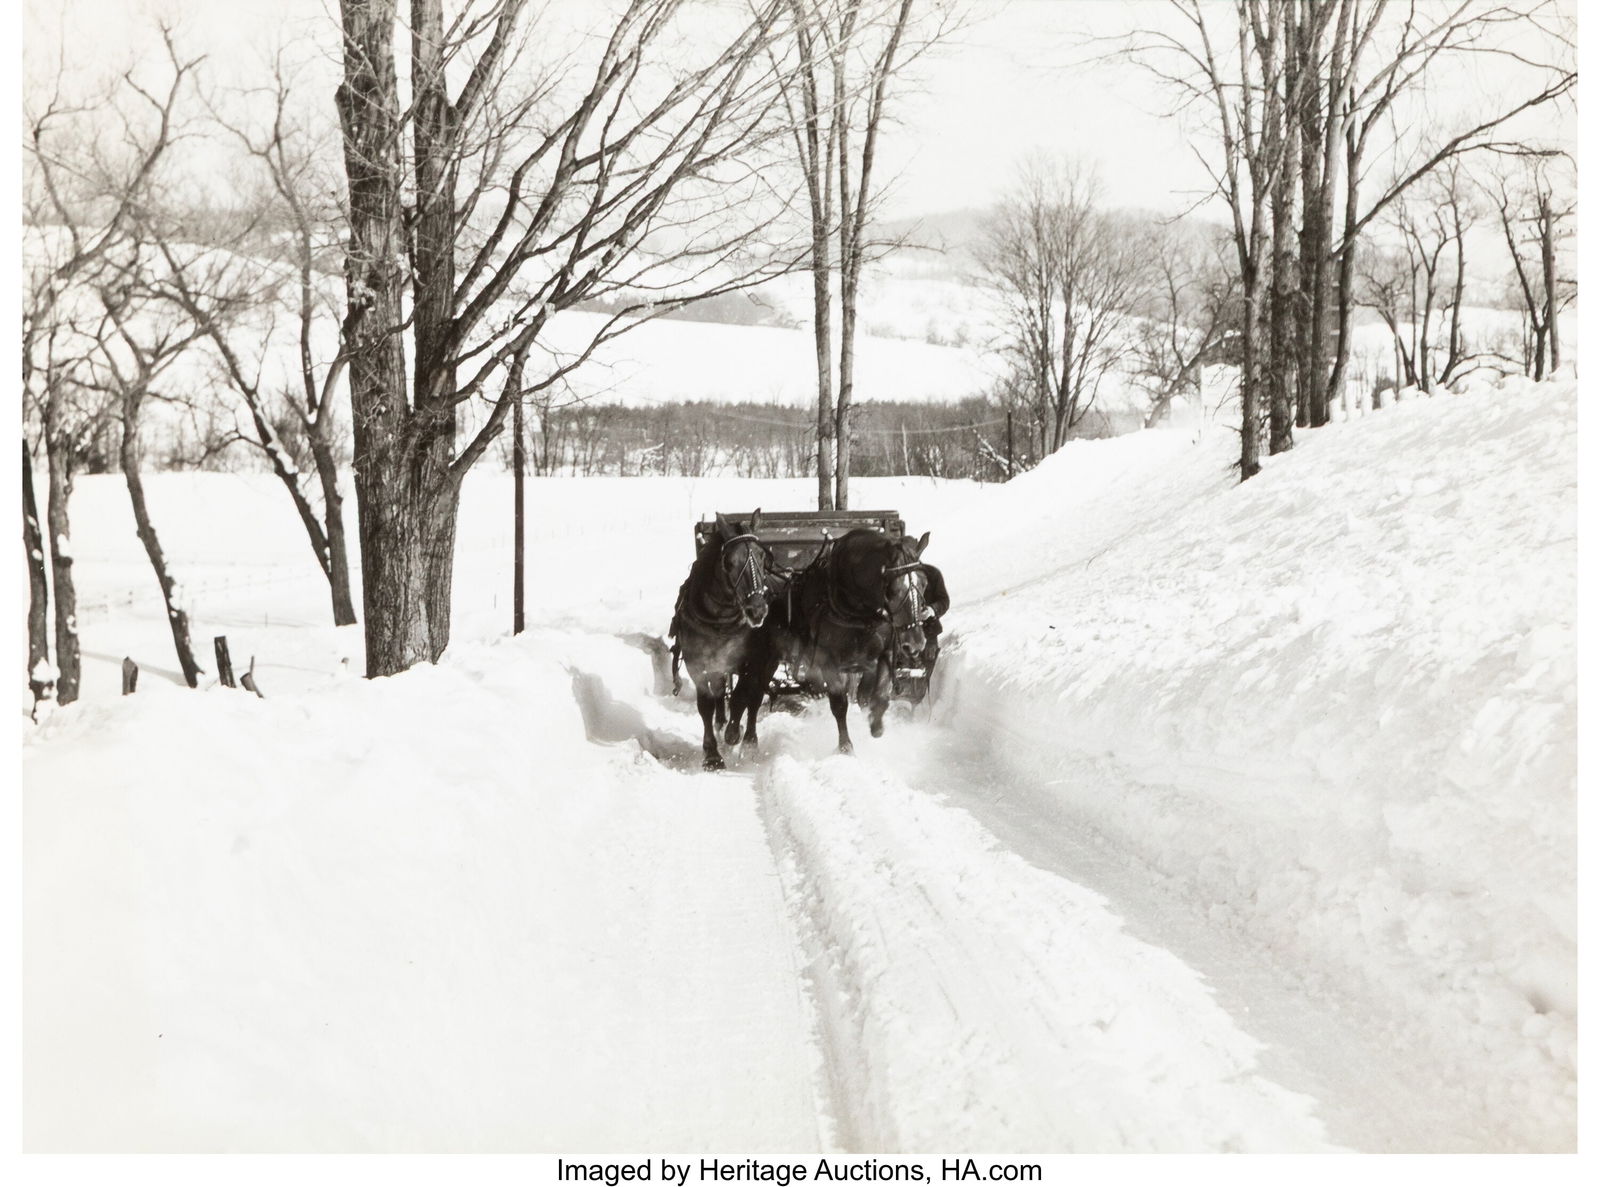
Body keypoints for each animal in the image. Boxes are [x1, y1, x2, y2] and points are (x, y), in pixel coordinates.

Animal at [669, 510, 772, 770]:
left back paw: (749, 741)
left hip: (767, 661)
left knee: (754, 698)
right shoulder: (698, 664)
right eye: (730, 562)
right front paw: (712, 754)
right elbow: (706, 704)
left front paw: (734, 733)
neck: (721, 620)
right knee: (719, 695)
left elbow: (740, 697)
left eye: (762, 556)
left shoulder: (751, 661)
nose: (757, 610)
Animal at [730, 527, 931, 755]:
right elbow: (839, 703)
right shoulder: (828, 661)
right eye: (894, 589)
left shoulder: (879, 656)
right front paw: (846, 747)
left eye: (925, 583)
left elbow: (876, 696)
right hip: (763, 657)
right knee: (752, 694)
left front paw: (875, 726)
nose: (916, 642)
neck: (855, 609)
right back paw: (743, 739)